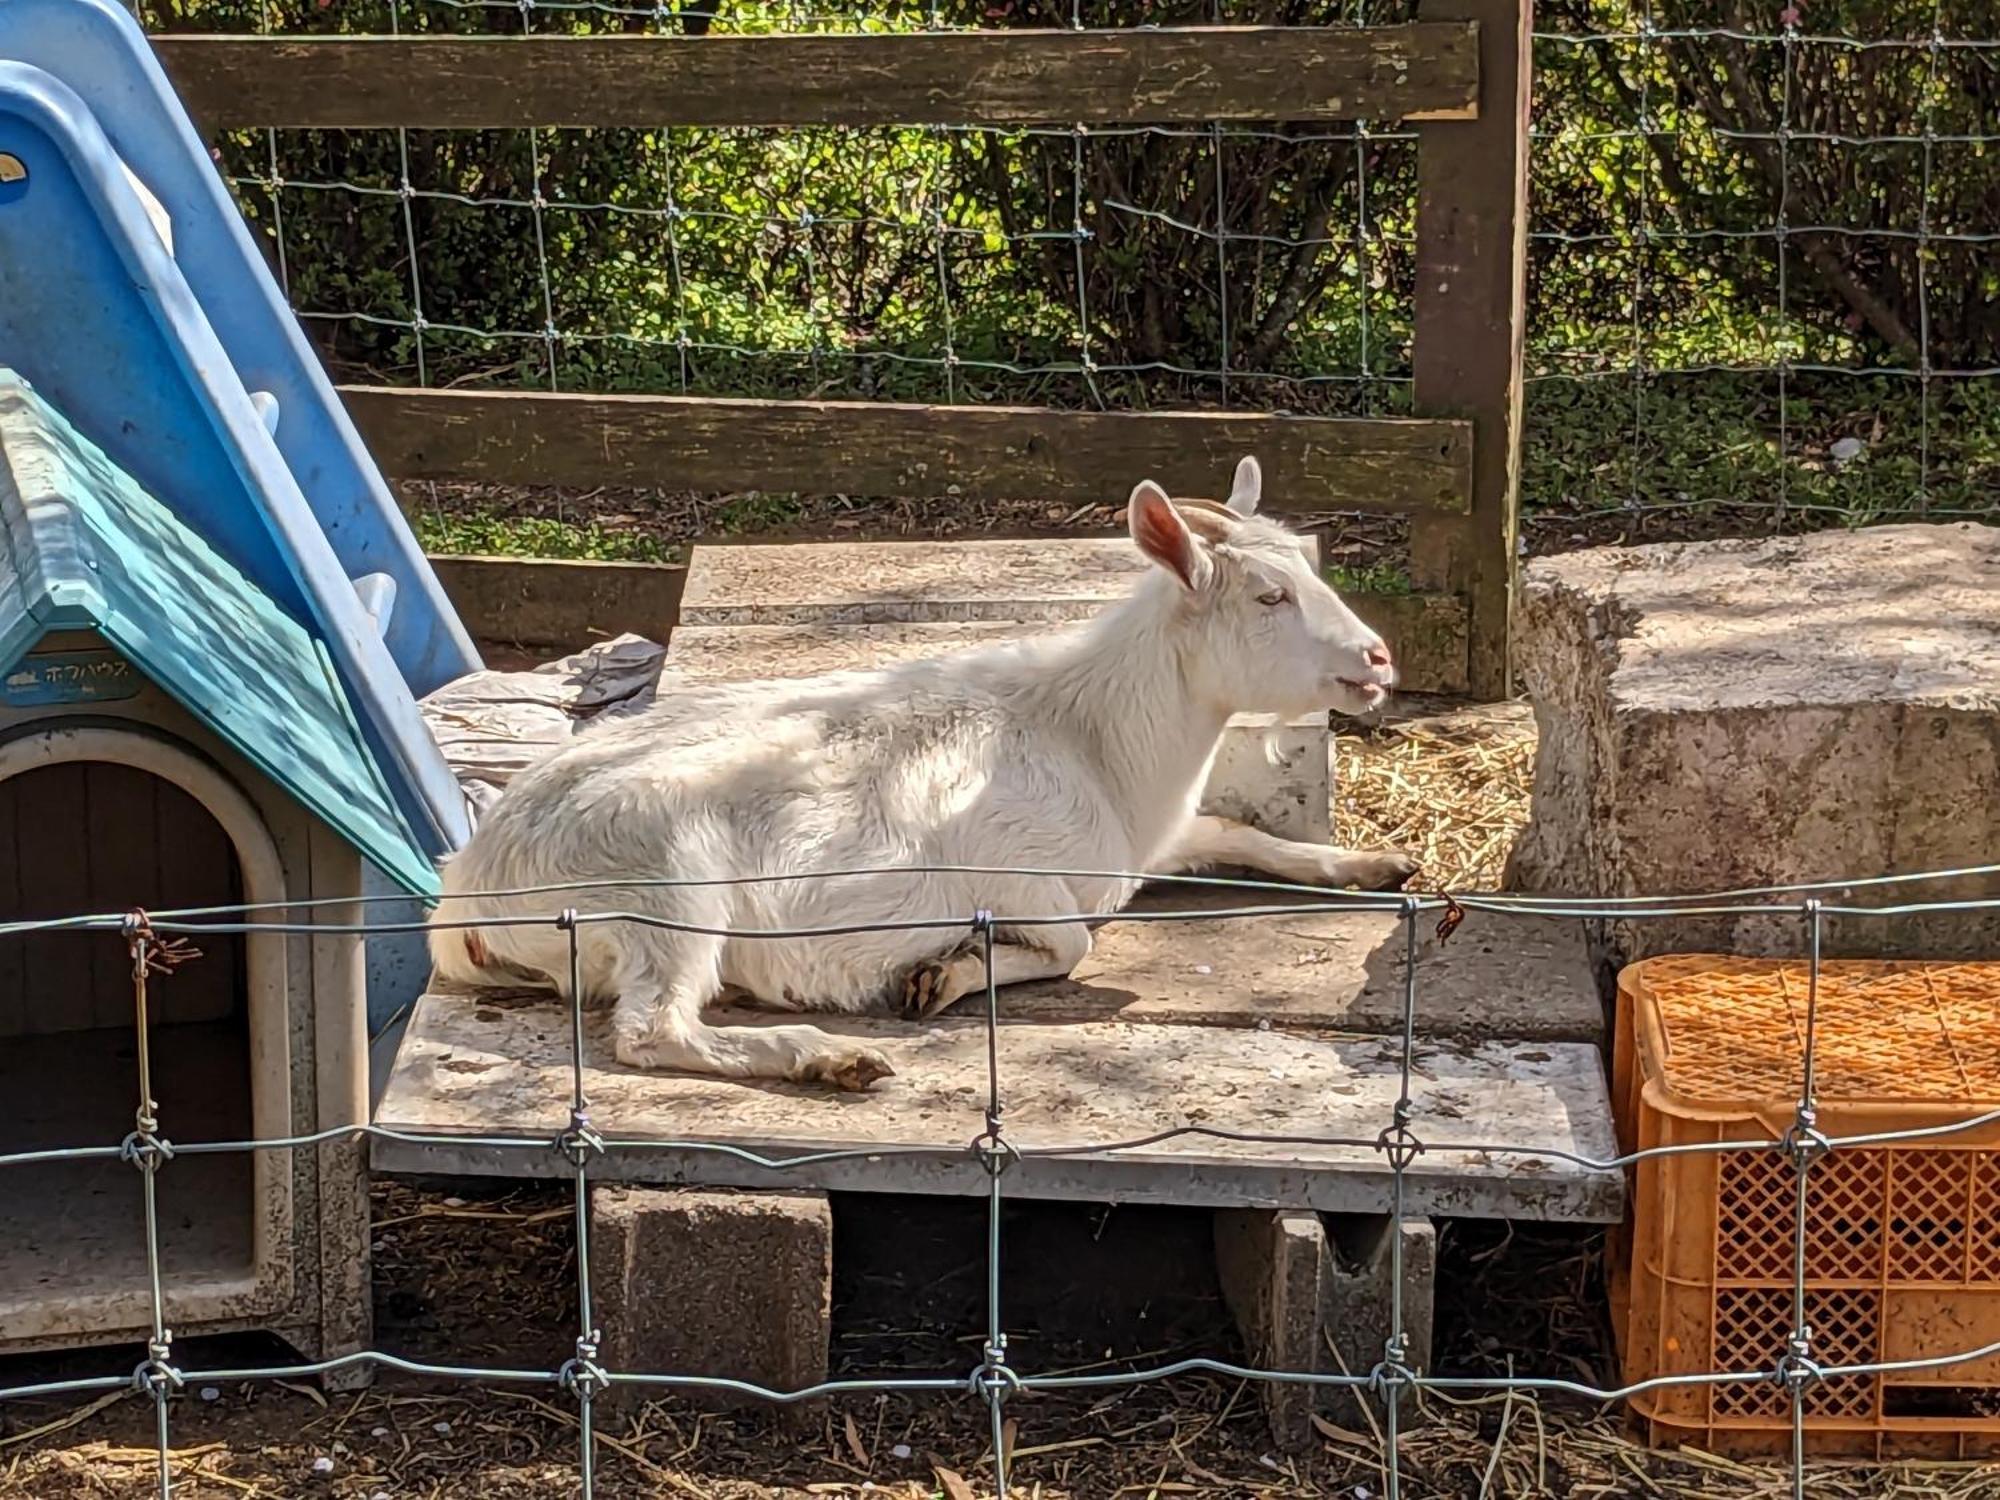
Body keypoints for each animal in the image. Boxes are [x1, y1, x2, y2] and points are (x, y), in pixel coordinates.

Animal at [430, 458, 1416, 1096]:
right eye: (1268, 597)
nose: (1377, 658)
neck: (1088, 737)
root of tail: (471, 887)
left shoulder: (1147, 841)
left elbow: (1235, 831)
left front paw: (1375, 864)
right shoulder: (1012, 865)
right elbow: (1074, 944)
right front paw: (939, 974)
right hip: (666, 887)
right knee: (651, 1030)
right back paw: (828, 1056)